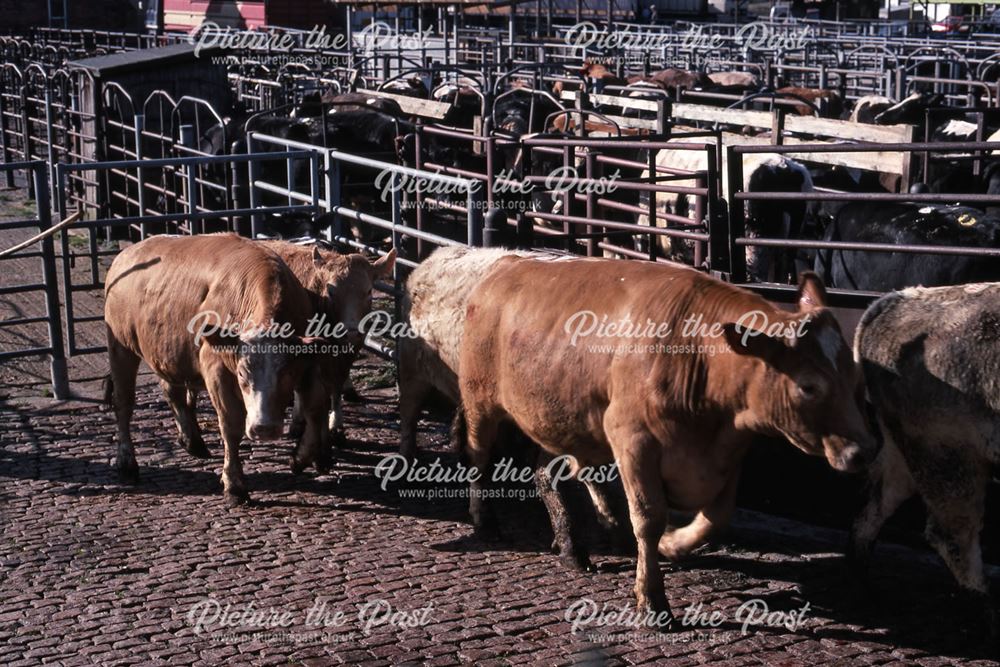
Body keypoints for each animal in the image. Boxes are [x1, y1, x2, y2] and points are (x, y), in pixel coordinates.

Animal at [107, 232, 330, 504]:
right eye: (242, 373)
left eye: (287, 373)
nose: (264, 428)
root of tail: (128, 253)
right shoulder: (217, 369)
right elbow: (231, 425)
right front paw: (234, 485)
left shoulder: (306, 361)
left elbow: (315, 407)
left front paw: (301, 457)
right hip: (120, 348)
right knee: (123, 403)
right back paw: (127, 462)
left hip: (167, 351)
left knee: (173, 391)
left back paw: (192, 440)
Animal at [458, 262, 876, 632]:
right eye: (808, 386)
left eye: (856, 377)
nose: (864, 452)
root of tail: (507, 266)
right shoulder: (632, 440)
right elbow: (648, 519)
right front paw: (652, 602)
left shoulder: (728, 452)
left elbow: (716, 517)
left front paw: (674, 545)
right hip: (480, 401)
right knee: (478, 456)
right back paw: (485, 519)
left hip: (563, 419)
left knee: (546, 469)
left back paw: (572, 545)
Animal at [848, 284, 1000, 636]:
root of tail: (894, 300)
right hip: (949, 460)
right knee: (952, 536)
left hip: (907, 456)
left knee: (871, 513)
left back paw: (866, 591)